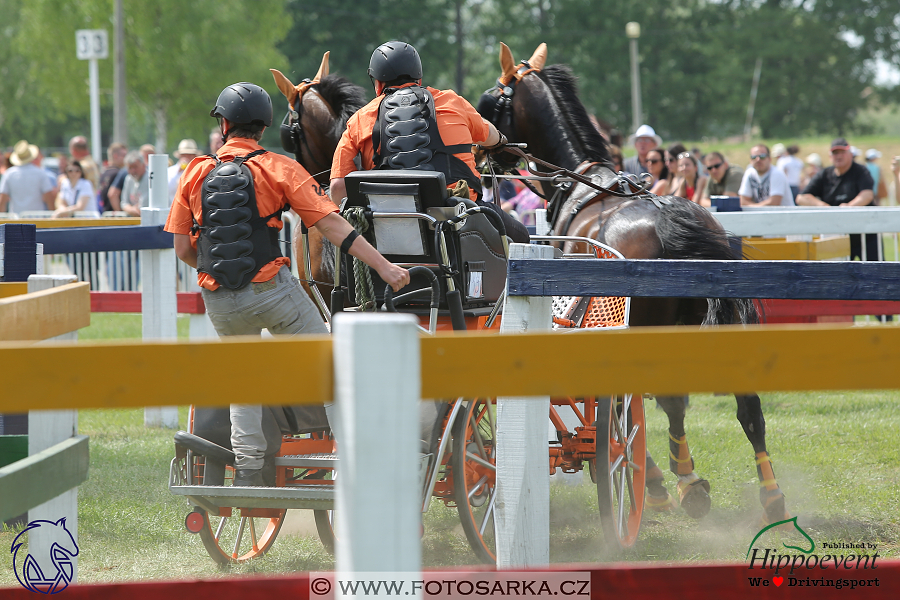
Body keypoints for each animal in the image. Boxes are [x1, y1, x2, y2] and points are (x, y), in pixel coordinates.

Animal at [478, 44, 788, 524]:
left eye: (492, 99)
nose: (478, 152)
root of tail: (671, 221)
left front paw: (652, 478)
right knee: (748, 408)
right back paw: (769, 494)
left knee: (663, 401)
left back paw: (678, 481)